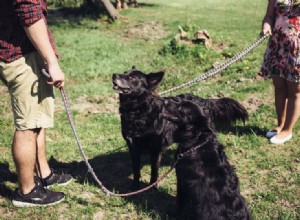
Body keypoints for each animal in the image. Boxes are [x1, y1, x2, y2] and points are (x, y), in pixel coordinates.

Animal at [112, 66, 248, 190]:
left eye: (132, 77)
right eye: (124, 72)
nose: (114, 75)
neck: (137, 111)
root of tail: (205, 101)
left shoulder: (156, 149)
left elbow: (154, 170)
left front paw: (152, 187)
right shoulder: (133, 147)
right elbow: (135, 169)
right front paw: (135, 186)